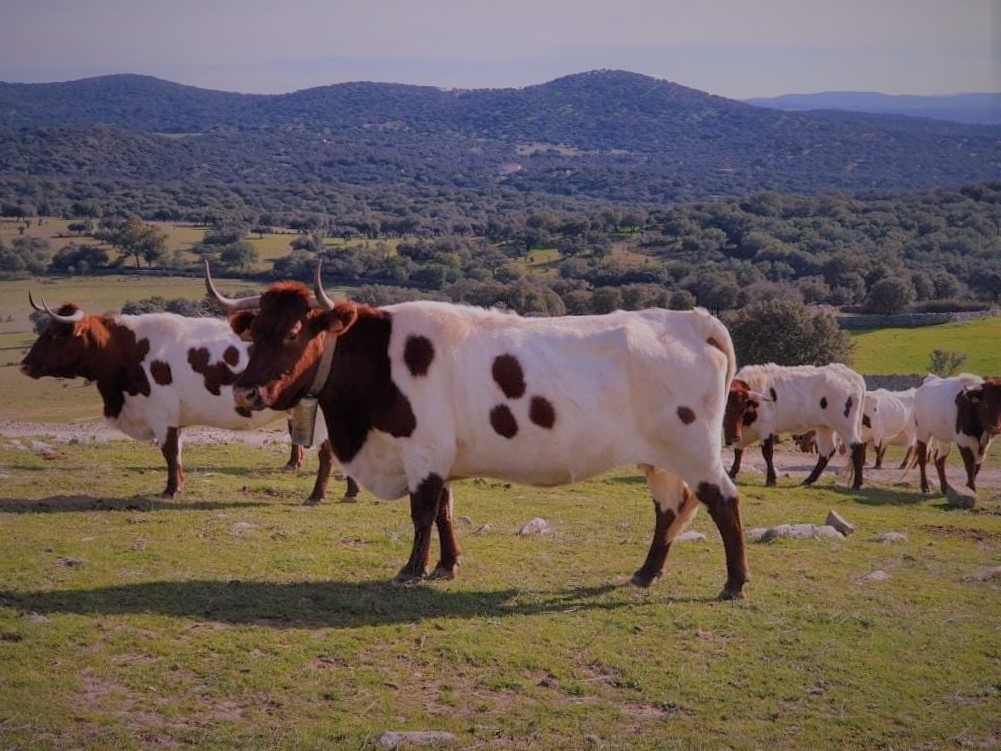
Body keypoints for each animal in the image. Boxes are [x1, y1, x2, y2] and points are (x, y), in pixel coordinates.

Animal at [19, 296, 356, 506]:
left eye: (54, 335)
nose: (25, 364)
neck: (128, 349)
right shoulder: (174, 417)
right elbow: (177, 452)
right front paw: (177, 483)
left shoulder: (161, 413)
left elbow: (169, 452)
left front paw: (171, 489)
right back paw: (350, 492)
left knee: (328, 454)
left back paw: (318, 494)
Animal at [205, 262, 752, 604]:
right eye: (253, 333)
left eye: (294, 333)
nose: (246, 391)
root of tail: (692, 320)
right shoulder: (440, 456)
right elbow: (446, 510)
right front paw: (447, 566)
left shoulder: (423, 452)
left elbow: (422, 513)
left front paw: (411, 571)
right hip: (660, 458)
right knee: (669, 509)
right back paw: (646, 573)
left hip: (695, 452)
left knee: (723, 502)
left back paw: (735, 583)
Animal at [720, 362, 868, 488]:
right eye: (723, 410)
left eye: (742, 409)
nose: (733, 437)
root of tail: (852, 376)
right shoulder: (744, 431)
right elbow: (738, 450)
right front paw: (731, 474)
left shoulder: (766, 428)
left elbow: (767, 453)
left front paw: (771, 479)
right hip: (825, 427)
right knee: (827, 452)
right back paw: (808, 481)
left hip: (846, 425)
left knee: (857, 447)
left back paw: (857, 484)